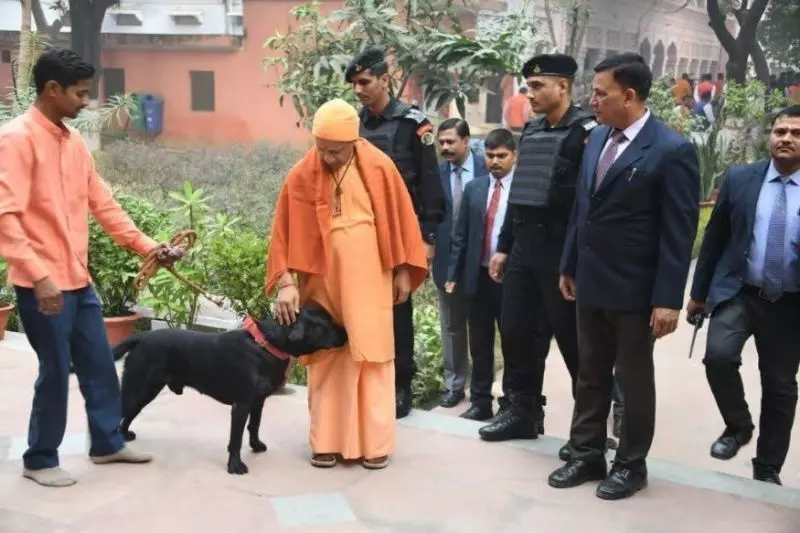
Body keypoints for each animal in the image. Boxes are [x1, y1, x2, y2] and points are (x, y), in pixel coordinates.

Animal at [112, 306, 346, 476]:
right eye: (327, 324)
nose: (346, 333)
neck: (265, 345)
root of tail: (141, 337)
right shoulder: (241, 405)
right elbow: (236, 439)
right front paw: (235, 466)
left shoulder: (258, 401)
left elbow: (254, 425)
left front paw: (256, 445)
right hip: (138, 388)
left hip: (144, 391)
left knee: (127, 416)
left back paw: (125, 436)